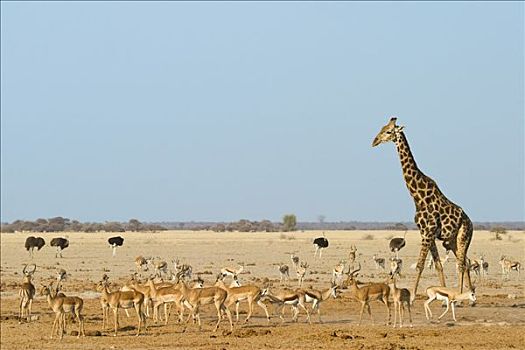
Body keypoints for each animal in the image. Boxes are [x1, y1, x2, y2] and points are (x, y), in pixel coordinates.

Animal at [370, 117, 472, 300]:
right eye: (381, 127)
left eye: (388, 131)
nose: (374, 141)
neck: (418, 196)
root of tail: (471, 222)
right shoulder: (425, 232)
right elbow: (438, 265)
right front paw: (442, 291)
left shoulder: (428, 232)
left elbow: (420, 265)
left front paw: (411, 296)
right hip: (451, 240)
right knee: (466, 262)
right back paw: (471, 295)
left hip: (463, 236)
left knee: (461, 264)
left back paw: (461, 295)